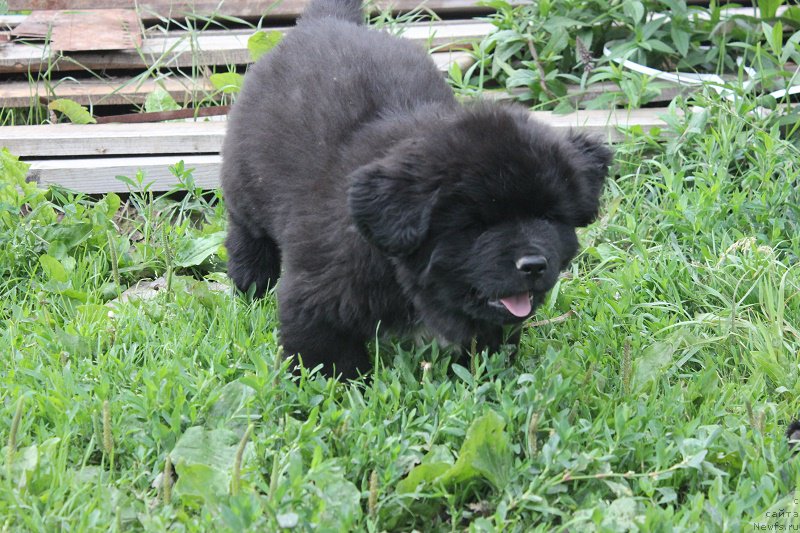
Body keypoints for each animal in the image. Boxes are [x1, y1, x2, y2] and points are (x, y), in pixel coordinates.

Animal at [219, 0, 612, 378]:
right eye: (477, 226)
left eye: (547, 217)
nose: (533, 265)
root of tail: (324, 21)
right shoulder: (316, 295)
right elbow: (325, 358)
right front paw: (337, 389)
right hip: (245, 185)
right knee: (246, 232)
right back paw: (250, 284)